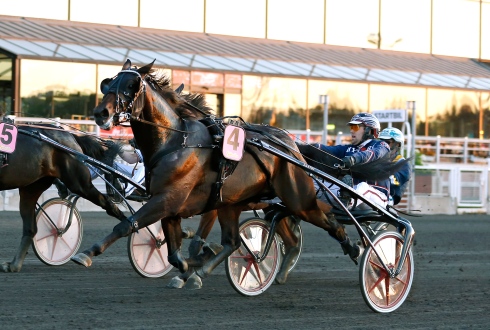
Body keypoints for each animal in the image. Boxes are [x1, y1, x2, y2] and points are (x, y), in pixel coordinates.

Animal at [0, 122, 128, 272]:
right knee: (30, 228)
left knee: (108, 203)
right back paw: (14, 265)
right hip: (31, 188)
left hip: (79, 183)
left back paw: (129, 227)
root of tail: (71, 136)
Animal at [78, 59, 402, 286]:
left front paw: (87, 252)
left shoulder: (169, 200)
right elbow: (172, 250)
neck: (175, 141)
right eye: (108, 83)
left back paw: (366, 253)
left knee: (330, 221)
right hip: (235, 204)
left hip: (297, 199)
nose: (101, 114)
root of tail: (290, 146)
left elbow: (127, 225)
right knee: (237, 240)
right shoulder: (170, 203)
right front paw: (187, 269)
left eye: (131, 86)